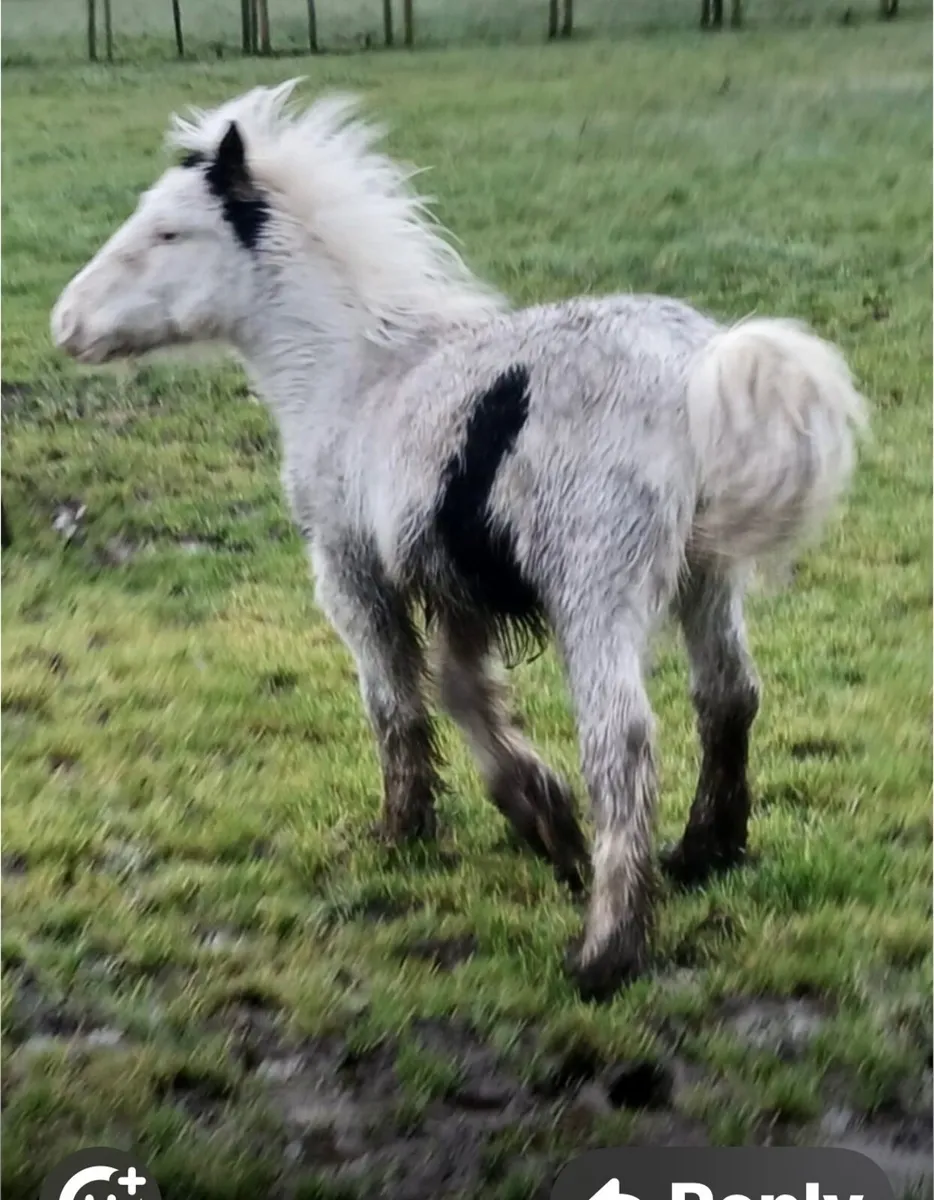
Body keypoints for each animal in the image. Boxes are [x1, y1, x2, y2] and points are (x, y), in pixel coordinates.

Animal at [50, 81, 868, 1001]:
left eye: (167, 232)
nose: (65, 322)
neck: (359, 375)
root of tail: (700, 367)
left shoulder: (354, 572)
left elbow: (397, 701)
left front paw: (408, 832)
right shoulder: (456, 583)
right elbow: (466, 693)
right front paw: (542, 819)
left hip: (596, 584)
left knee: (621, 740)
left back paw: (609, 949)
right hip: (705, 573)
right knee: (729, 695)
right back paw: (704, 853)